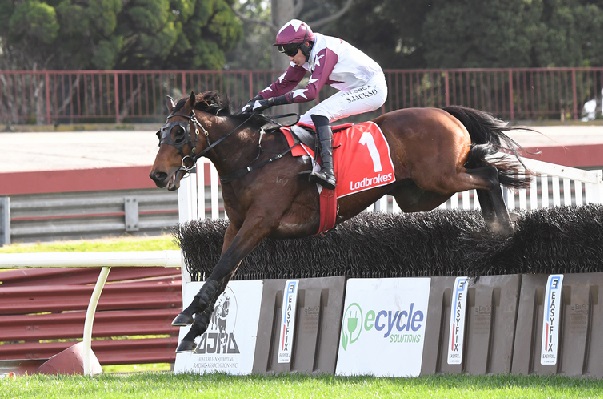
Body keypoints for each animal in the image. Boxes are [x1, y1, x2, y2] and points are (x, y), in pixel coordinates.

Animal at [149, 90, 532, 354]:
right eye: (159, 134)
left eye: (179, 133)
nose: (157, 175)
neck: (252, 156)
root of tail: (443, 112)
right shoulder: (236, 225)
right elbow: (222, 271)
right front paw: (195, 328)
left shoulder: (260, 222)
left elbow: (222, 266)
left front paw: (187, 317)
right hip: (418, 193)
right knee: (483, 174)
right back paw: (495, 232)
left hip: (440, 178)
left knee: (489, 176)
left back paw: (501, 233)